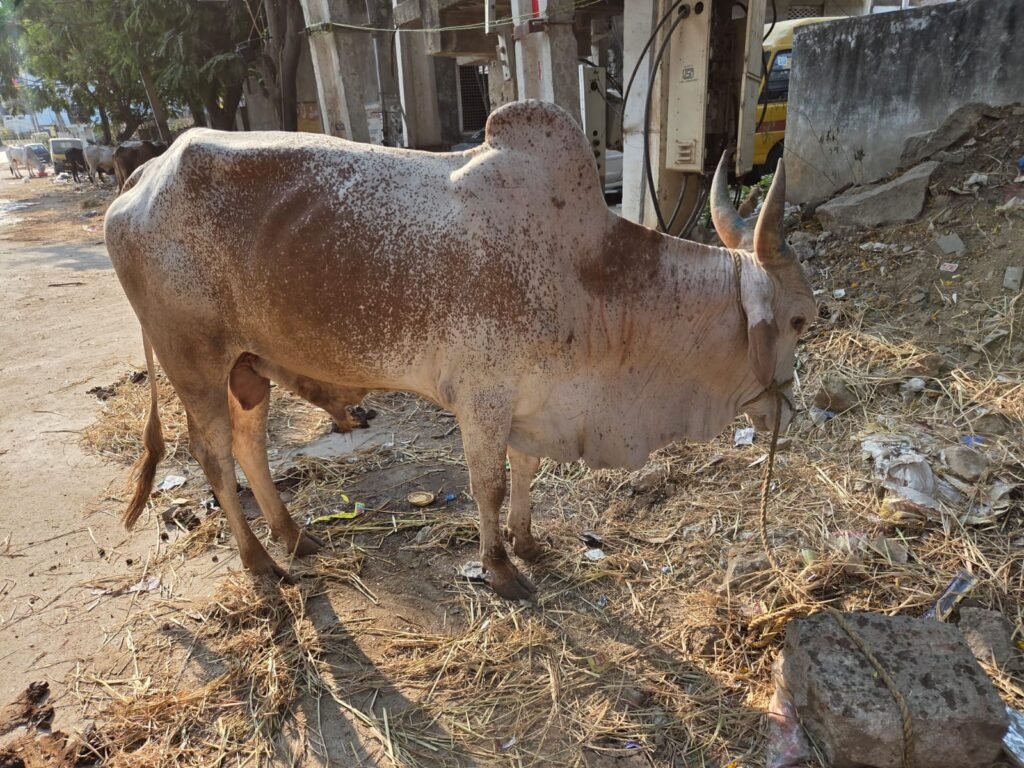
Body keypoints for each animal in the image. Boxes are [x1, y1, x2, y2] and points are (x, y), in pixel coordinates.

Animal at [104, 100, 815, 600]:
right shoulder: (484, 400)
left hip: (246, 367)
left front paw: (528, 543)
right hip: (195, 363)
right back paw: (260, 562)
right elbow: (489, 486)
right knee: (215, 458)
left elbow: (527, 473)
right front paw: (499, 567)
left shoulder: (534, 402)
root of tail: (144, 172)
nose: (789, 414)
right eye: (803, 321)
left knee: (252, 445)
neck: (591, 276)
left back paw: (295, 537)